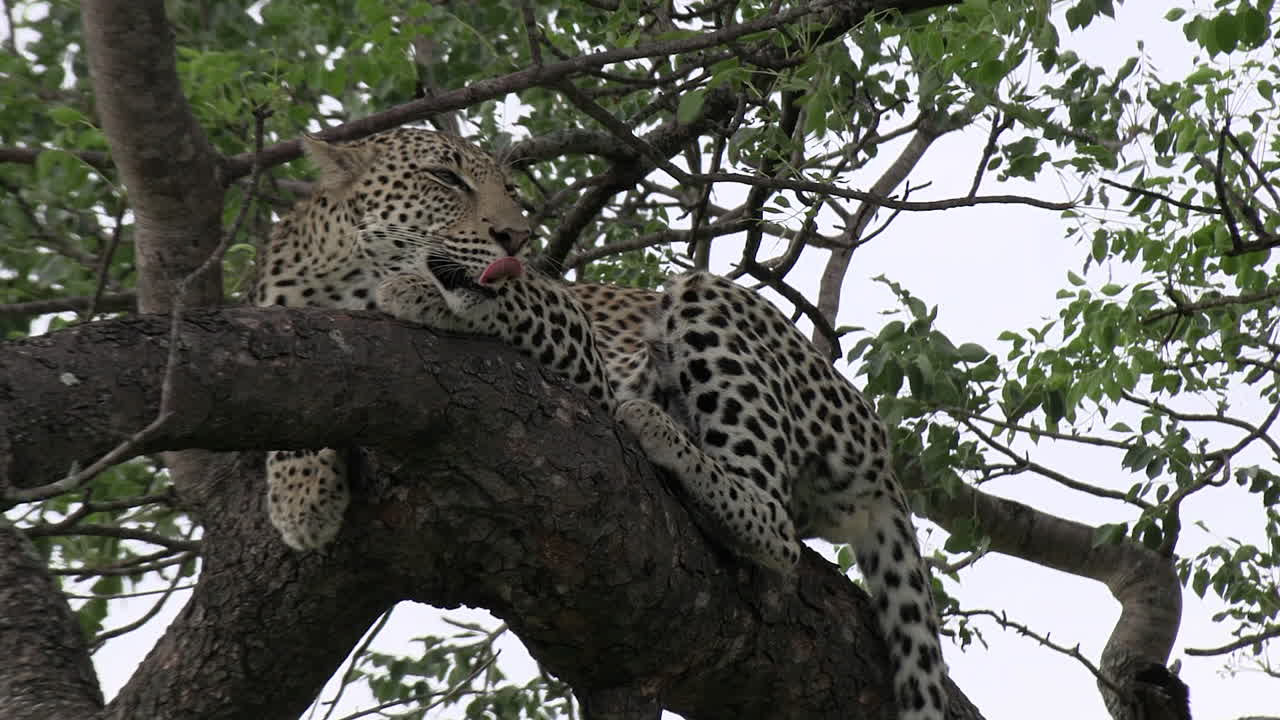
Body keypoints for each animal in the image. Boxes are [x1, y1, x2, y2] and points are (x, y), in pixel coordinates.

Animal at [255, 126, 948, 720]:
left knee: (776, 528)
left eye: (509, 190)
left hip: (708, 299)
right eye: (444, 179)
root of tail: (882, 459)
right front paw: (300, 495)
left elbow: (507, 299)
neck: (345, 278)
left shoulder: (581, 348)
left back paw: (658, 431)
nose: (517, 237)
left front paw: (423, 293)